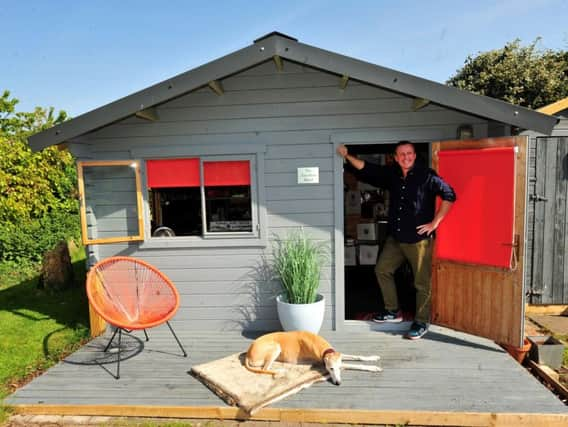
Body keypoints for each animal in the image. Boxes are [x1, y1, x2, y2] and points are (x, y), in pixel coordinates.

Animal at [244, 330, 382, 386]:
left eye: (337, 368)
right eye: (331, 369)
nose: (338, 383)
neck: (325, 350)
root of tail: (248, 352)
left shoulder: (338, 354)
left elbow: (357, 356)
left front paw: (373, 358)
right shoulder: (322, 362)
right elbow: (353, 364)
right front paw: (373, 368)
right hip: (275, 348)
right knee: (265, 369)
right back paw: (281, 371)